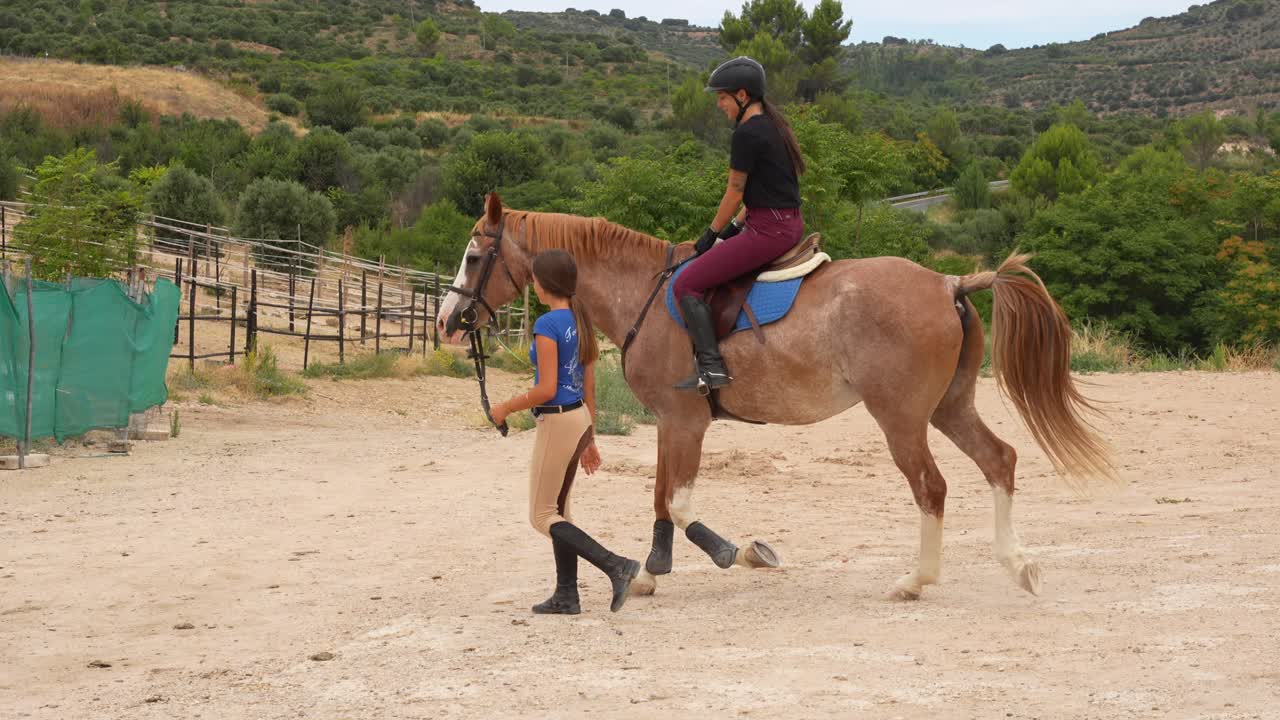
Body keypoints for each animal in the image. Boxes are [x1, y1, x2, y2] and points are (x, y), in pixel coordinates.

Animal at [439, 193, 1114, 601]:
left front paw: (740, 554)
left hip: (901, 419)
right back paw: (1017, 564)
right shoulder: (670, 422)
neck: (648, 296)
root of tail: (950, 281)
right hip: (949, 407)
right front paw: (652, 573)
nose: (447, 322)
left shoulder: (687, 421)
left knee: (932, 486)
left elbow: (680, 504)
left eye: (472, 256)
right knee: (999, 460)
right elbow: (660, 497)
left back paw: (915, 580)